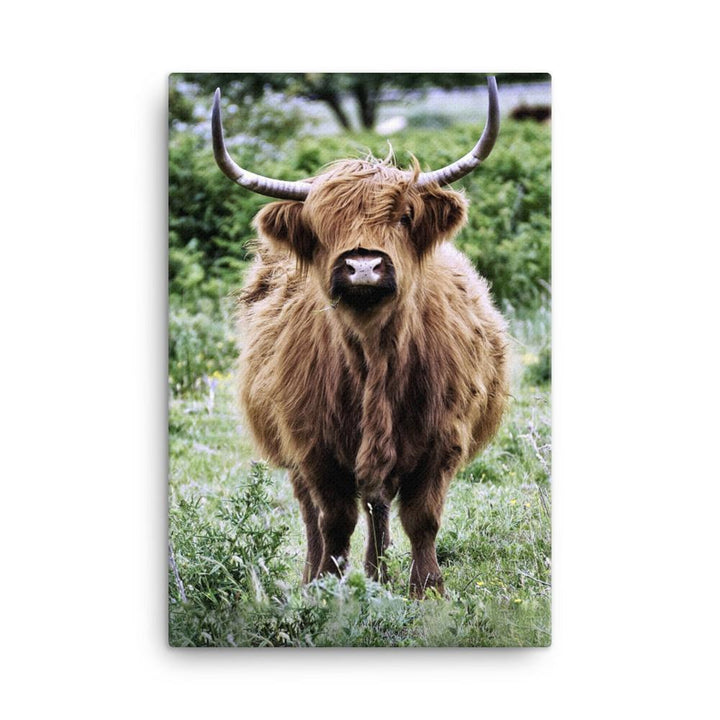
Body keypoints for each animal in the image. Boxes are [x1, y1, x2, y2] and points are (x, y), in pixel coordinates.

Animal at [211, 77, 509, 597]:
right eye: (321, 225)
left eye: (405, 216)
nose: (364, 266)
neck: (375, 355)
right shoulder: (313, 447)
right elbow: (334, 519)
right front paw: (327, 588)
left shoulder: (443, 440)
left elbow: (422, 518)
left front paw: (427, 590)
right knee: (316, 513)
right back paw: (323, 575)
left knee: (379, 504)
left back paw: (378, 572)